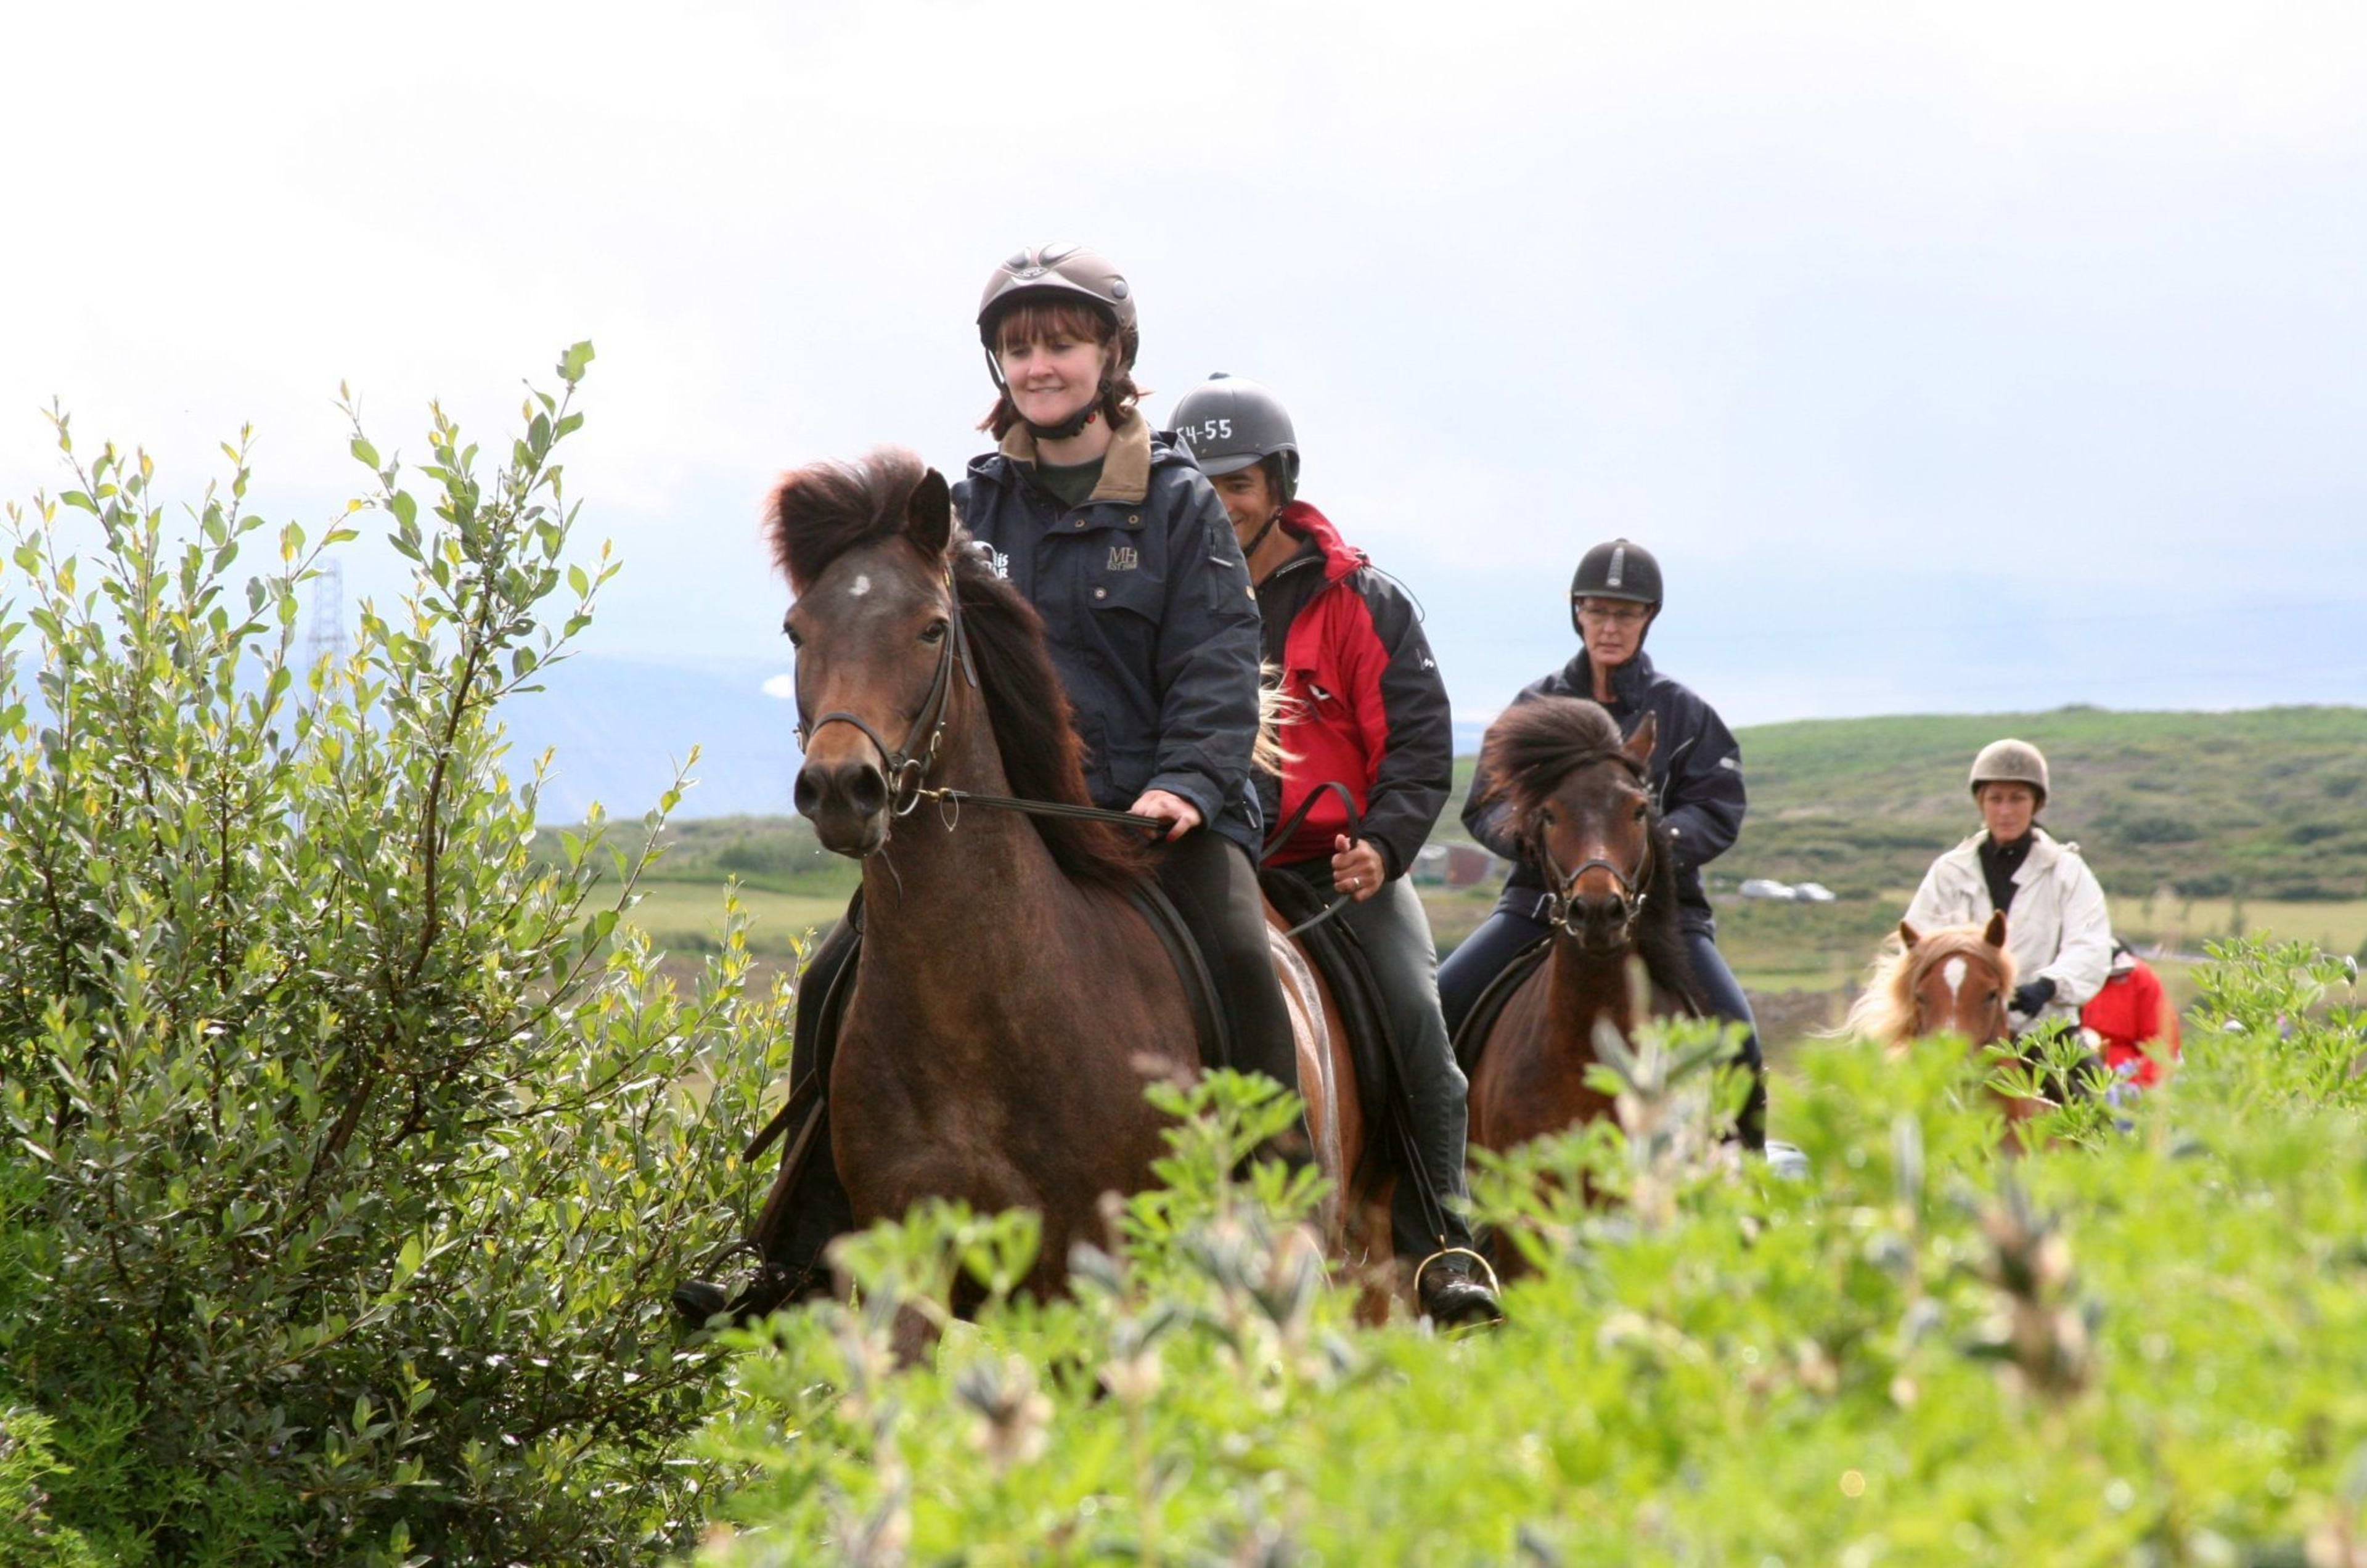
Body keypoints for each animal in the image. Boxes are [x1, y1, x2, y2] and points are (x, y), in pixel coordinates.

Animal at [767, 452, 1382, 1297]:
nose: (838, 788)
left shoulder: (1107, 1262)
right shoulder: (912, 1249)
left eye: (932, 628)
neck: (981, 1011)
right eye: (797, 631)